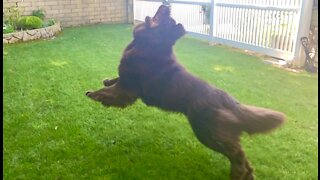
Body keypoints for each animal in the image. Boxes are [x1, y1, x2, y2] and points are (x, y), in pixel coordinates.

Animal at [86, 4, 286, 179]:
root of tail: (226, 98)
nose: (167, 5)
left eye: (168, 19)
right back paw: (248, 174)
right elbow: (114, 79)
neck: (148, 44)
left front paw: (94, 95)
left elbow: (110, 92)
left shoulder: (128, 88)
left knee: (236, 151)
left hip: (208, 131)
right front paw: (106, 80)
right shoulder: (126, 80)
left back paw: (238, 173)